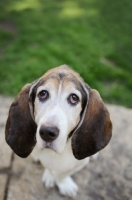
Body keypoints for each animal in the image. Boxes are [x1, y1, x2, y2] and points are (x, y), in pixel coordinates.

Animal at [5, 65, 112, 198]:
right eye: (43, 94)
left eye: (74, 98)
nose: (47, 132)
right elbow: (51, 168)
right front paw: (51, 176)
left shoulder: (79, 164)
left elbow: (63, 174)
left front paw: (64, 184)